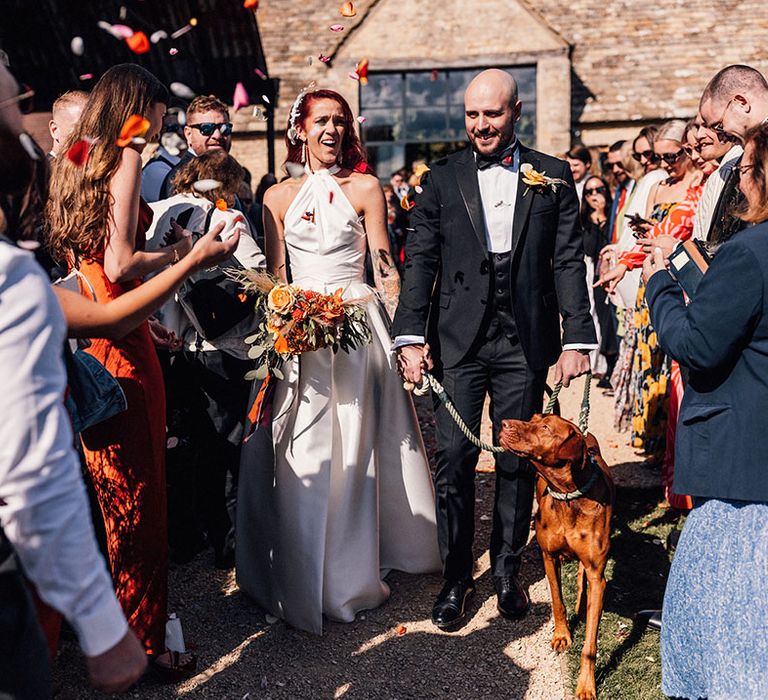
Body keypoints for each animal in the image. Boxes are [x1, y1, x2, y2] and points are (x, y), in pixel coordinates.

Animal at [500, 416, 616, 700]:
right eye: (532, 419)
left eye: (545, 428)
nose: (504, 423)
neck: (568, 495)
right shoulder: (548, 557)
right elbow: (557, 601)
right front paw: (562, 635)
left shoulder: (598, 576)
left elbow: (590, 644)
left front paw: (586, 685)